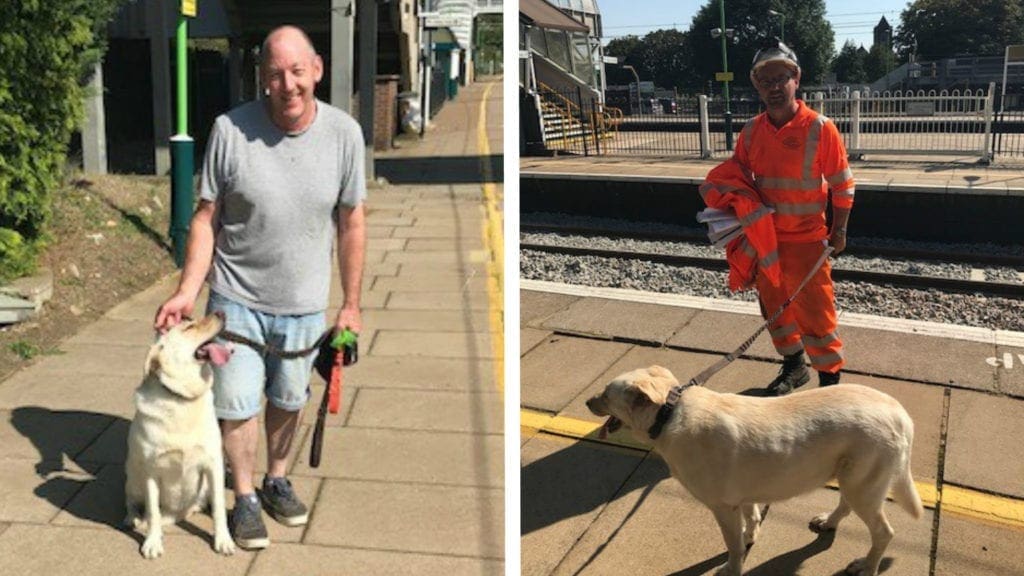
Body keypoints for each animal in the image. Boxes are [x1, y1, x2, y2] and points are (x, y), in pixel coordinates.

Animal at [124, 309, 234, 557]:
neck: (183, 399)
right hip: (133, 476)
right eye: (188, 328)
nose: (221, 312)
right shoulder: (151, 471)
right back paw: (133, 519)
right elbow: (152, 512)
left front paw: (223, 540)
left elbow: (219, 509)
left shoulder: (214, 464)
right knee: (135, 505)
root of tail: (177, 513)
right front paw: (152, 542)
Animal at [589, 364, 925, 569]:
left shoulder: (723, 507)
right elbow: (751, 520)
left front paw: (732, 567)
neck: (669, 413)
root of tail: (902, 414)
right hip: (853, 478)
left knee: (883, 533)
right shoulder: (744, 495)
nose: (587, 402)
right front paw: (751, 537)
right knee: (845, 504)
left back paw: (867, 566)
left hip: (863, 485)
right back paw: (828, 522)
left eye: (605, 394)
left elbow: (733, 546)